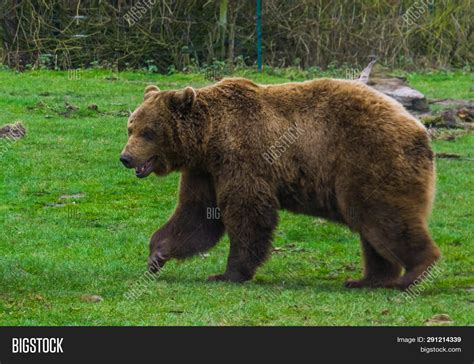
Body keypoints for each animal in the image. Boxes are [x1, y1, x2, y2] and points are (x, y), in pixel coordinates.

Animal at [120, 77, 438, 290]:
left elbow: (247, 213)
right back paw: (367, 279)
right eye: (130, 128)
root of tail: (418, 128)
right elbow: (197, 215)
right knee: (371, 228)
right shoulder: (205, 171)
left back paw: (413, 273)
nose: (126, 157)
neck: (208, 139)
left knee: (385, 217)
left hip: (368, 159)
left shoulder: (241, 157)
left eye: (148, 132)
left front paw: (227, 273)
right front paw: (156, 254)